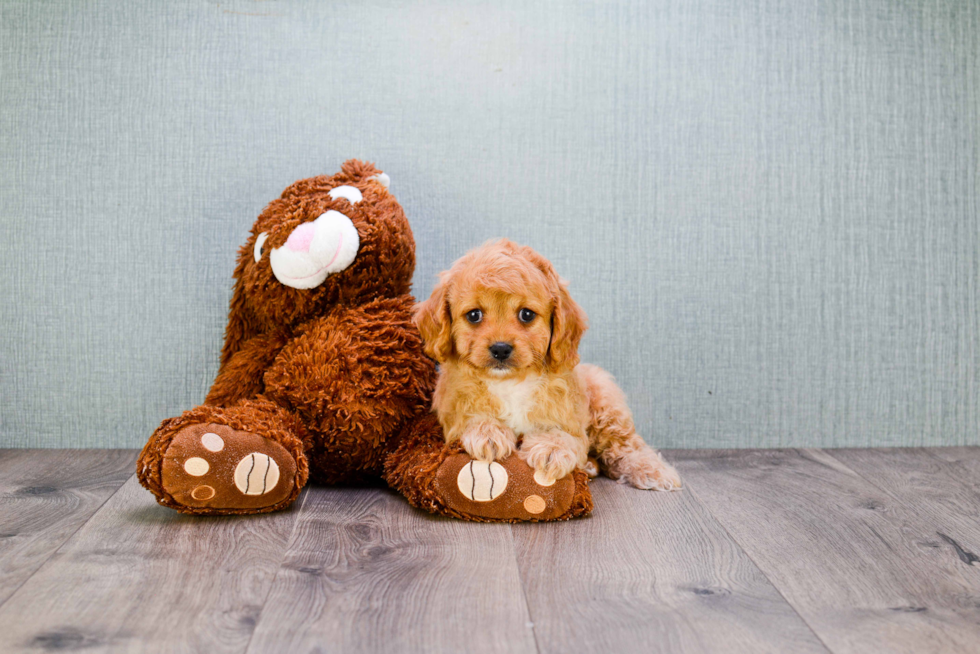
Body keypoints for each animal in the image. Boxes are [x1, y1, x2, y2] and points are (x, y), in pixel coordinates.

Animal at [416, 238, 680, 490]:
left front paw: (551, 448)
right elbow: (470, 417)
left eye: (526, 314)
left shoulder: (570, 416)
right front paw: (488, 432)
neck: (510, 381)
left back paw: (652, 470)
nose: (500, 348)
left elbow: (564, 434)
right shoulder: (452, 405)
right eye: (474, 315)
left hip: (606, 402)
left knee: (625, 445)